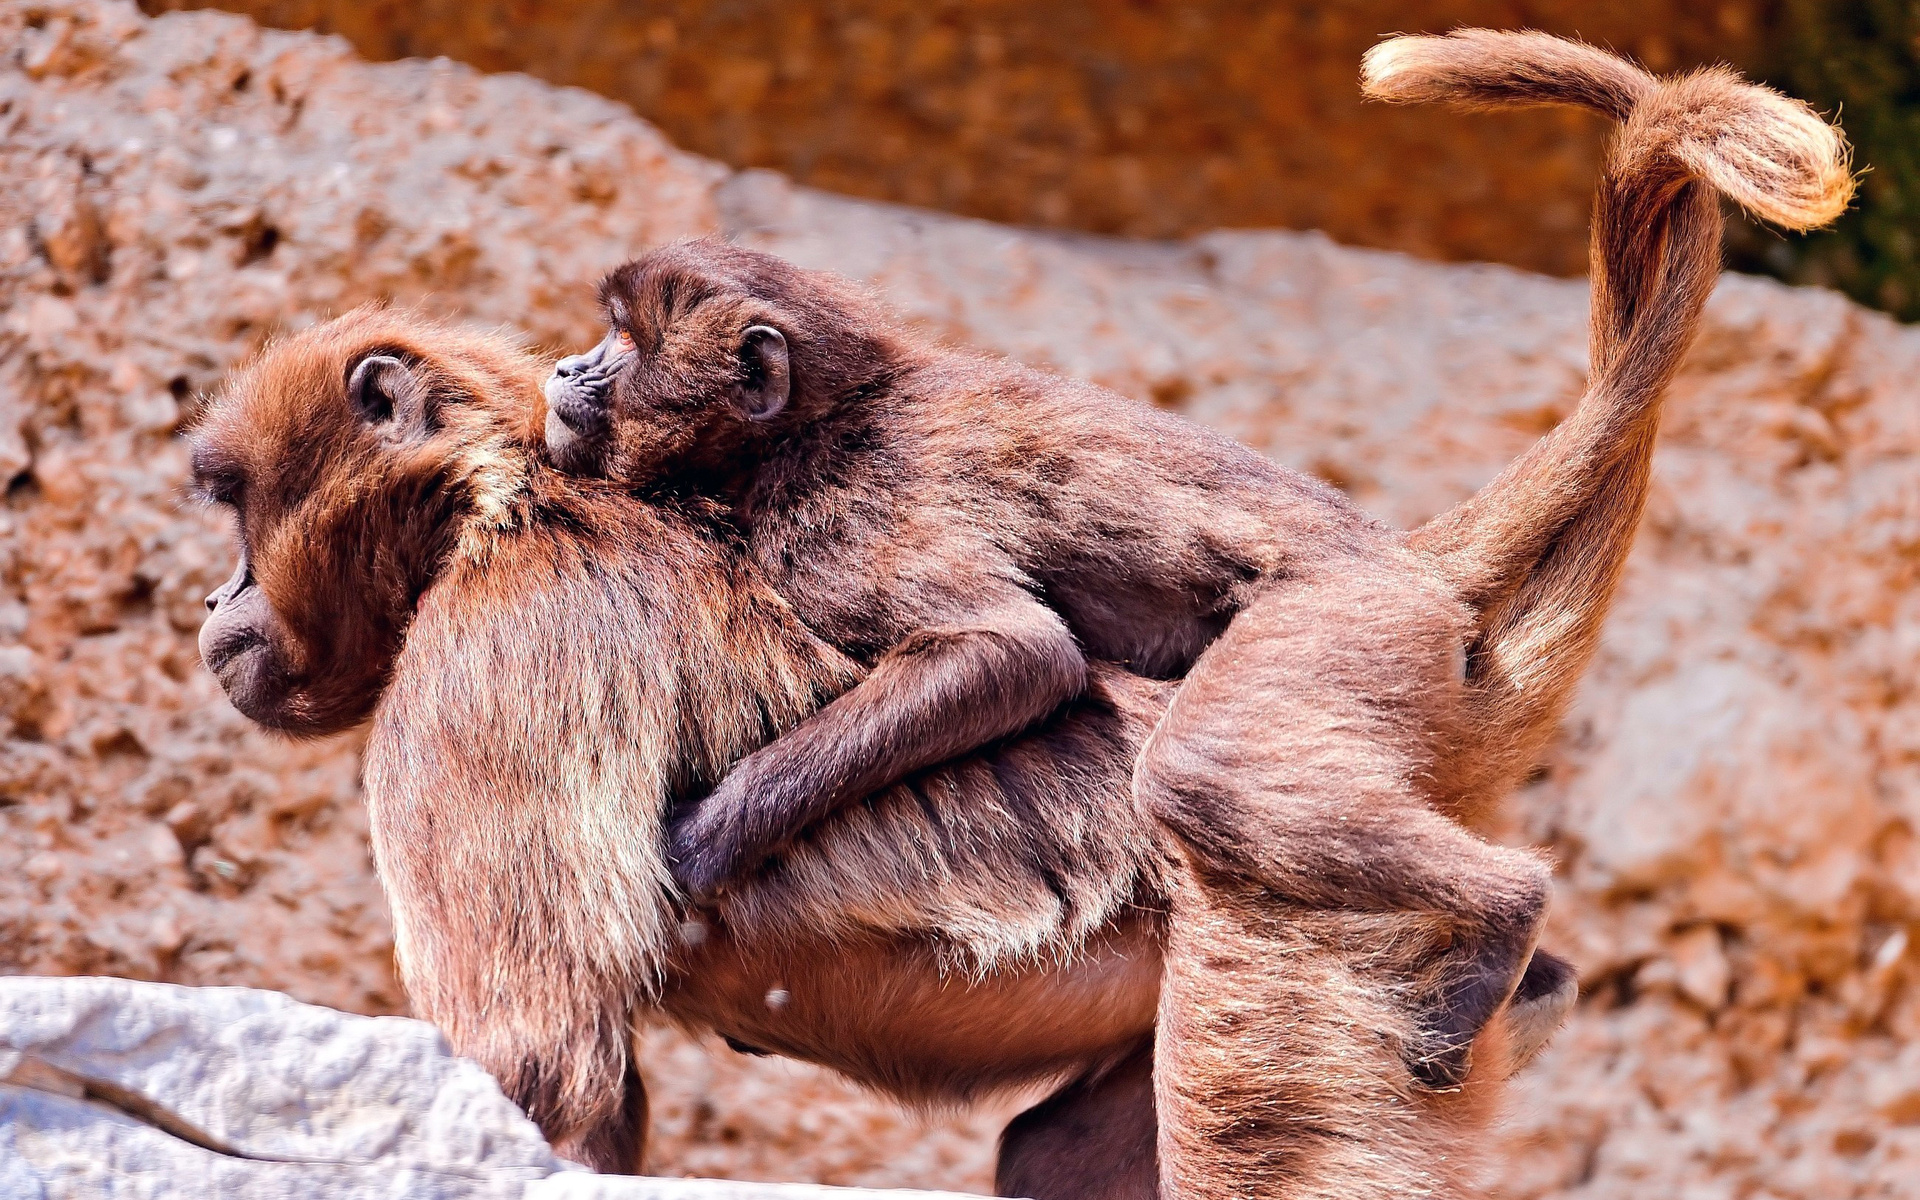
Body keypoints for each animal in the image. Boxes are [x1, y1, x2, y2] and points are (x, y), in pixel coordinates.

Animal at [194, 25, 1843, 1198]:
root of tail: (1429, 601)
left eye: (228, 506)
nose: (217, 602)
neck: (508, 497)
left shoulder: (499, 636)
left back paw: (1494, 905)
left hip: (1323, 898)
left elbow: (534, 1067)